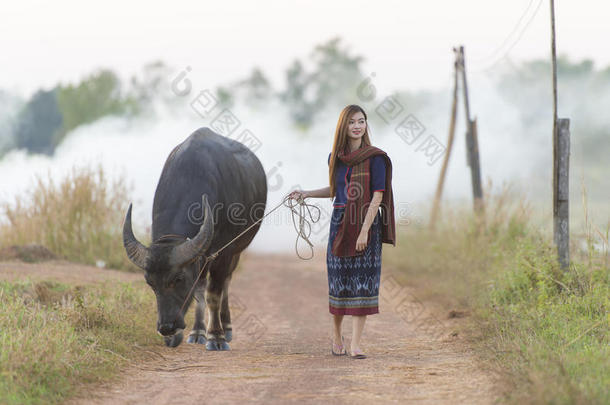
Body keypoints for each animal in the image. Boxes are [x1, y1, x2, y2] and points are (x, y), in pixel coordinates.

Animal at [121, 128, 266, 348]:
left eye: (178, 279)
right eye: (150, 283)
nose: (166, 328)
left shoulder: (224, 252)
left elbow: (213, 294)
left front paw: (216, 337)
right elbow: (198, 291)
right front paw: (195, 332)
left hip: (237, 250)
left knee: (226, 282)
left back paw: (226, 327)